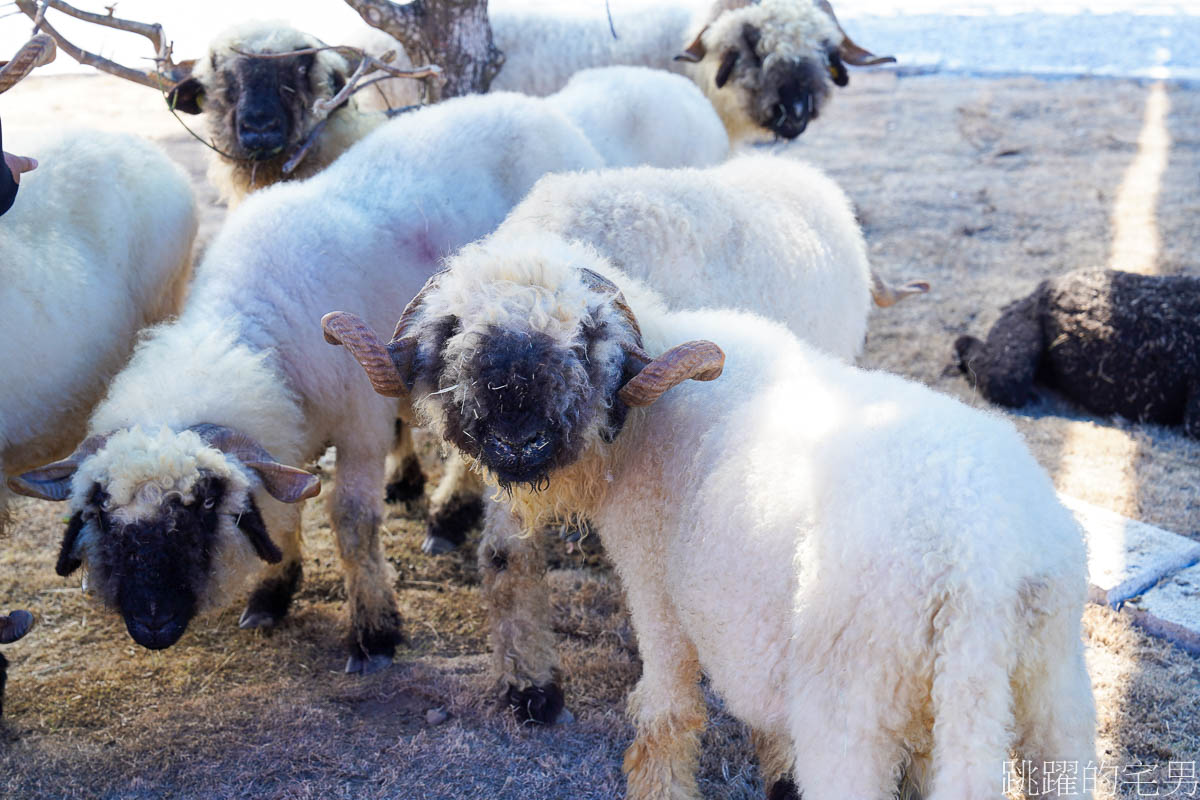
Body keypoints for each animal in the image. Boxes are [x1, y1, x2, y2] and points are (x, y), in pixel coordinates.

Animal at [328, 237, 1099, 800]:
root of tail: (979, 567)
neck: (644, 425)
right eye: (452, 332)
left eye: (586, 338)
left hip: (853, 715)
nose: (517, 429)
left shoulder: (656, 592)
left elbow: (669, 710)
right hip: (1054, 703)